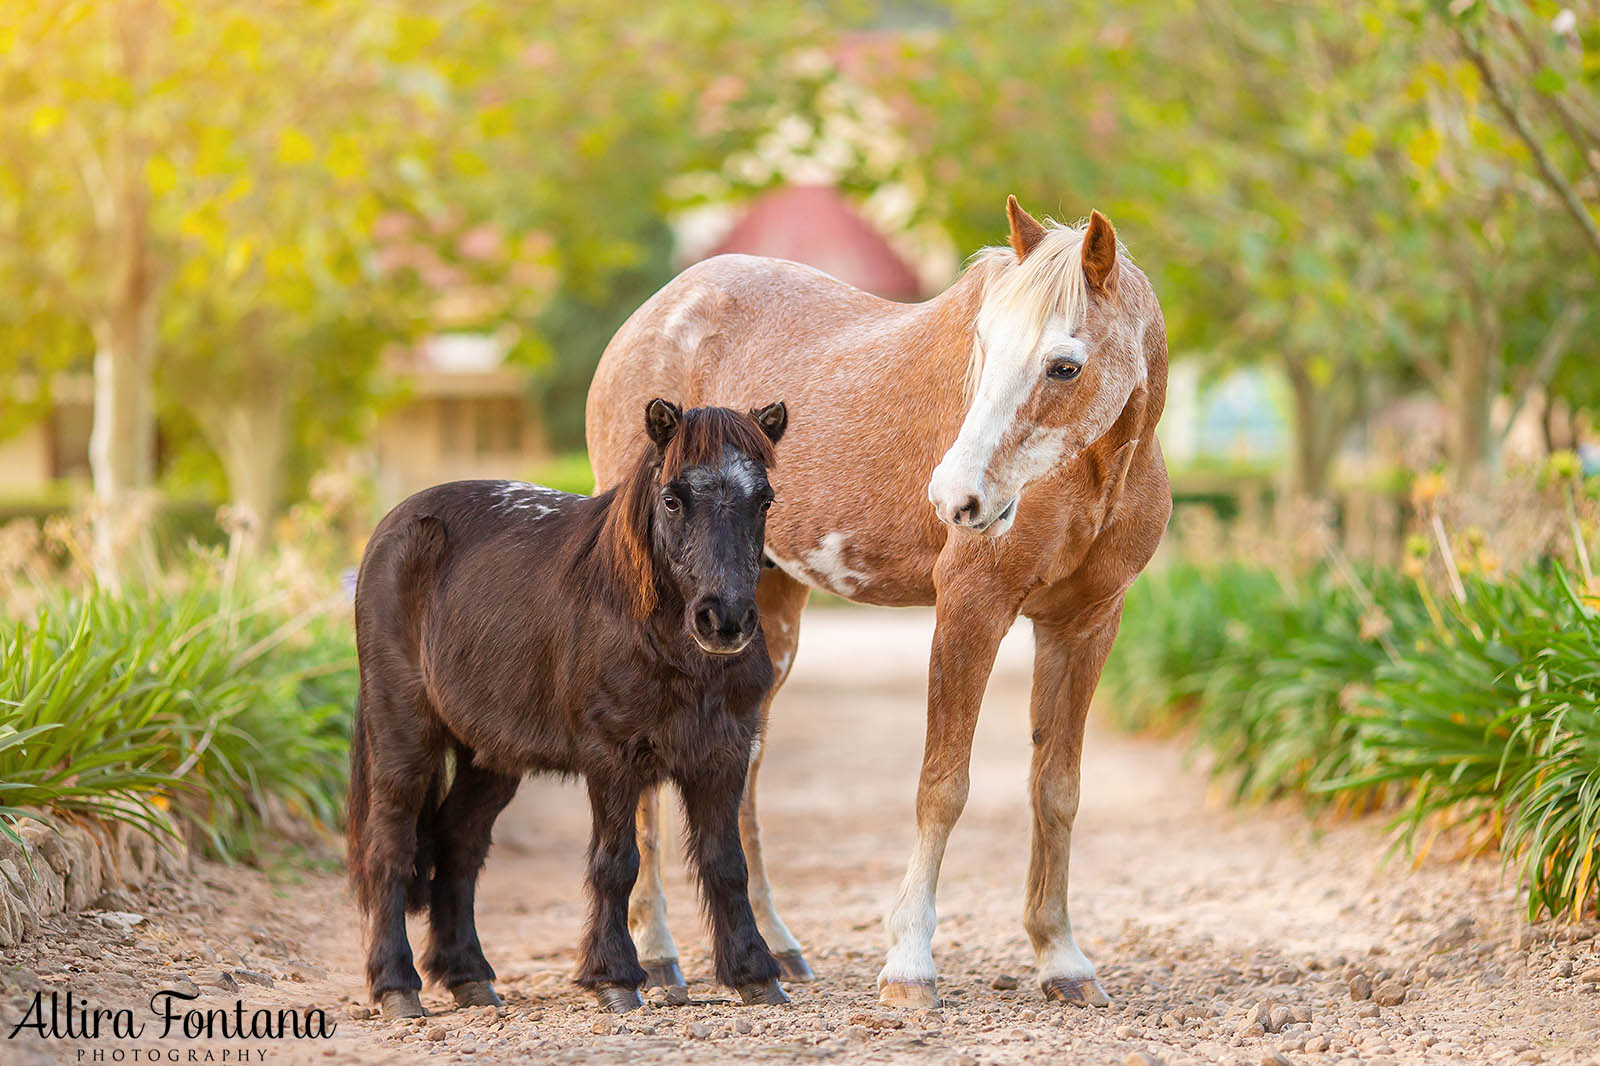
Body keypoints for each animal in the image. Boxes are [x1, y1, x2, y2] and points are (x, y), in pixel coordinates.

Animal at [353, 398, 796, 1011]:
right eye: (673, 498)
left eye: (765, 499)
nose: (724, 620)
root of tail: (393, 527)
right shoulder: (612, 758)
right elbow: (617, 863)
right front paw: (615, 977)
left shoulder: (723, 755)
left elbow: (727, 864)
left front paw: (755, 973)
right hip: (403, 734)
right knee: (391, 845)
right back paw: (396, 986)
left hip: (490, 756)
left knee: (458, 844)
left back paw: (469, 976)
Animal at [582, 196, 1171, 1005]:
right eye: (982, 345)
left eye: (1064, 365)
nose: (955, 497)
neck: (1094, 476)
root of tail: (646, 321)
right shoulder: (971, 609)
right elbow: (942, 786)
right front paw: (910, 965)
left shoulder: (1084, 624)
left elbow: (1056, 788)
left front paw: (1062, 958)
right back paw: (656, 958)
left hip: (765, 615)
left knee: (744, 774)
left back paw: (773, 950)